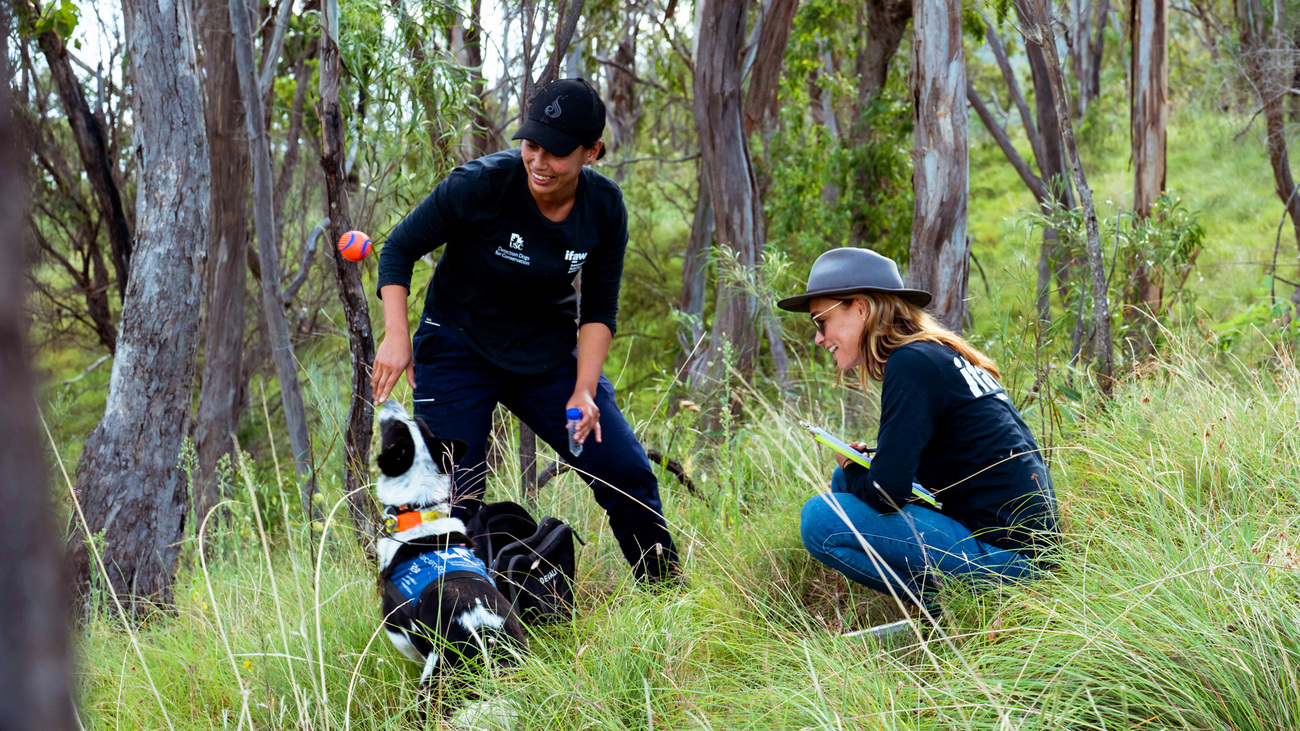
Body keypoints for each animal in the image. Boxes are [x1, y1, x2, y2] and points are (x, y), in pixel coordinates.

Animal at [374, 398, 525, 686]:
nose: (390, 401)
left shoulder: (395, 624)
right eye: (418, 422)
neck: (420, 509)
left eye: (393, 428)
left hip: (435, 679)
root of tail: (486, 639)